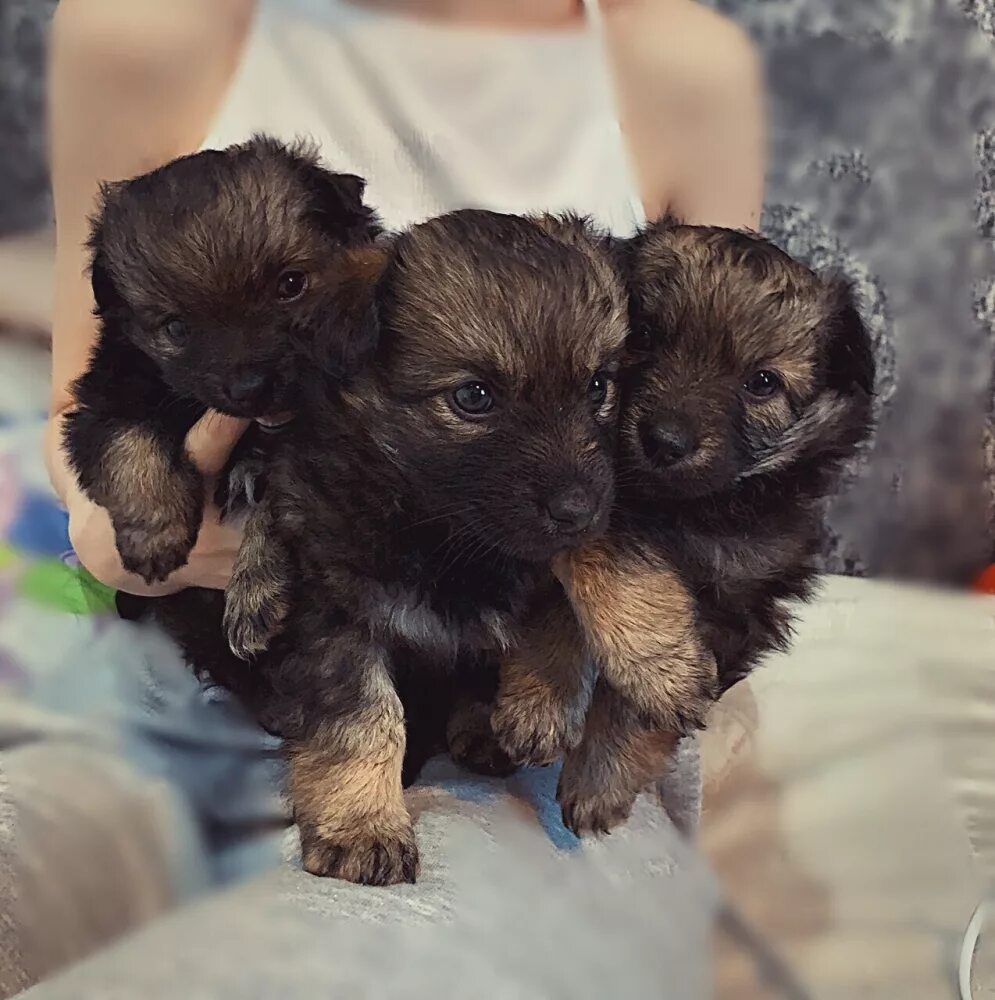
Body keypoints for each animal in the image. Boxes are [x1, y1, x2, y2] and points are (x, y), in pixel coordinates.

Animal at [61, 137, 382, 584]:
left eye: (291, 284)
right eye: (176, 328)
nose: (251, 388)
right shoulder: (106, 393)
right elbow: (125, 441)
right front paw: (156, 536)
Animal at [168, 211, 628, 884]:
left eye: (598, 386)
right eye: (473, 396)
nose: (580, 511)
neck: (441, 533)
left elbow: (557, 605)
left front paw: (539, 704)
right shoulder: (334, 612)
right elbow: (366, 720)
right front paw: (364, 825)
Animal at [502, 221, 876, 836]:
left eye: (762, 383)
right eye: (646, 335)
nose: (665, 440)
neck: (685, 509)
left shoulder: (737, 599)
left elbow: (637, 710)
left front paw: (601, 778)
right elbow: (573, 591)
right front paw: (537, 703)